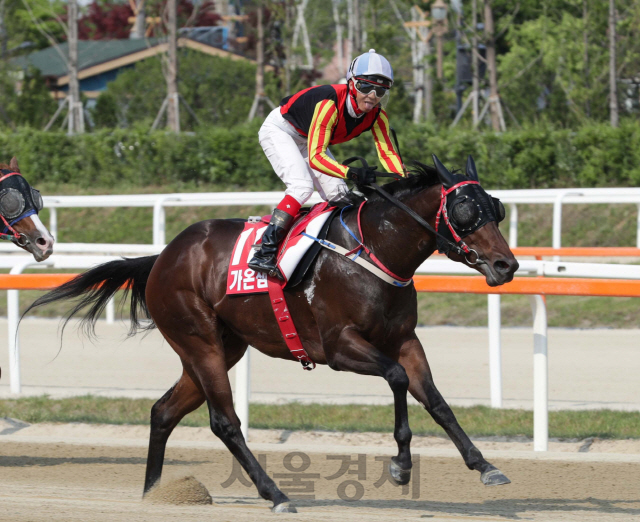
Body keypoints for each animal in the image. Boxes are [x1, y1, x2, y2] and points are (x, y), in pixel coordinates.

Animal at [26, 154, 520, 512]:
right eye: (465, 209)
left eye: (495, 208)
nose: (507, 265)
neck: (373, 250)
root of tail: (163, 256)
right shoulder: (339, 347)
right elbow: (397, 379)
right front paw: (400, 466)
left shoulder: (404, 340)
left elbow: (435, 399)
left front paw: (483, 464)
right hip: (199, 341)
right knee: (225, 421)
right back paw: (277, 494)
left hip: (220, 349)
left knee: (163, 411)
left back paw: (155, 495)